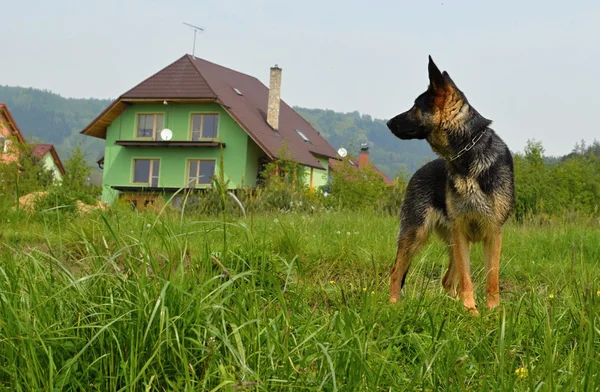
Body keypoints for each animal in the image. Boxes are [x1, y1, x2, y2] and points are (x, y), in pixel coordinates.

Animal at [386, 56, 512, 314]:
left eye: (415, 106)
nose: (387, 123)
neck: (468, 153)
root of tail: (418, 172)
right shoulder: (461, 233)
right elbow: (466, 280)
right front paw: (471, 311)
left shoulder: (493, 233)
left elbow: (492, 279)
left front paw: (492, 312)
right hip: (417, 234)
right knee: (396, 272)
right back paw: (393, 306)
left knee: (446, 280)